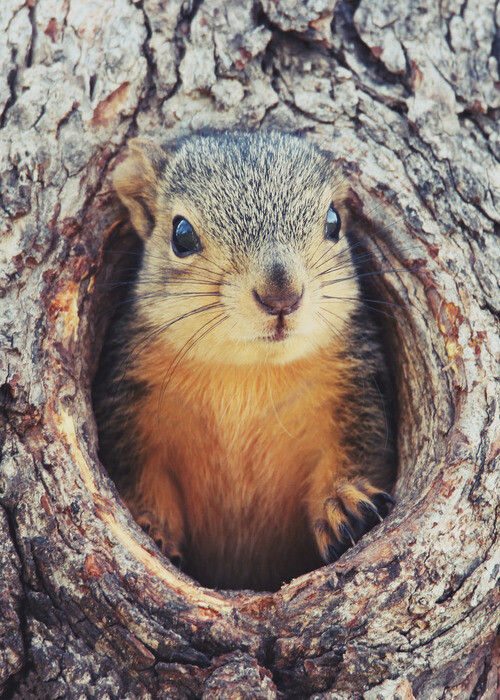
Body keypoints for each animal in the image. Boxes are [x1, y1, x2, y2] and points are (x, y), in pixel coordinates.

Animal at [94, 131, 396, 592]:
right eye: (181, 235)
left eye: (334, 222)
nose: (281, 295)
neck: (246, 373)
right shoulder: (129, 412)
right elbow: (140, 477)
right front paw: (149, 525)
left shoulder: (356, 395)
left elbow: (357, 452)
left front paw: (343, 503)